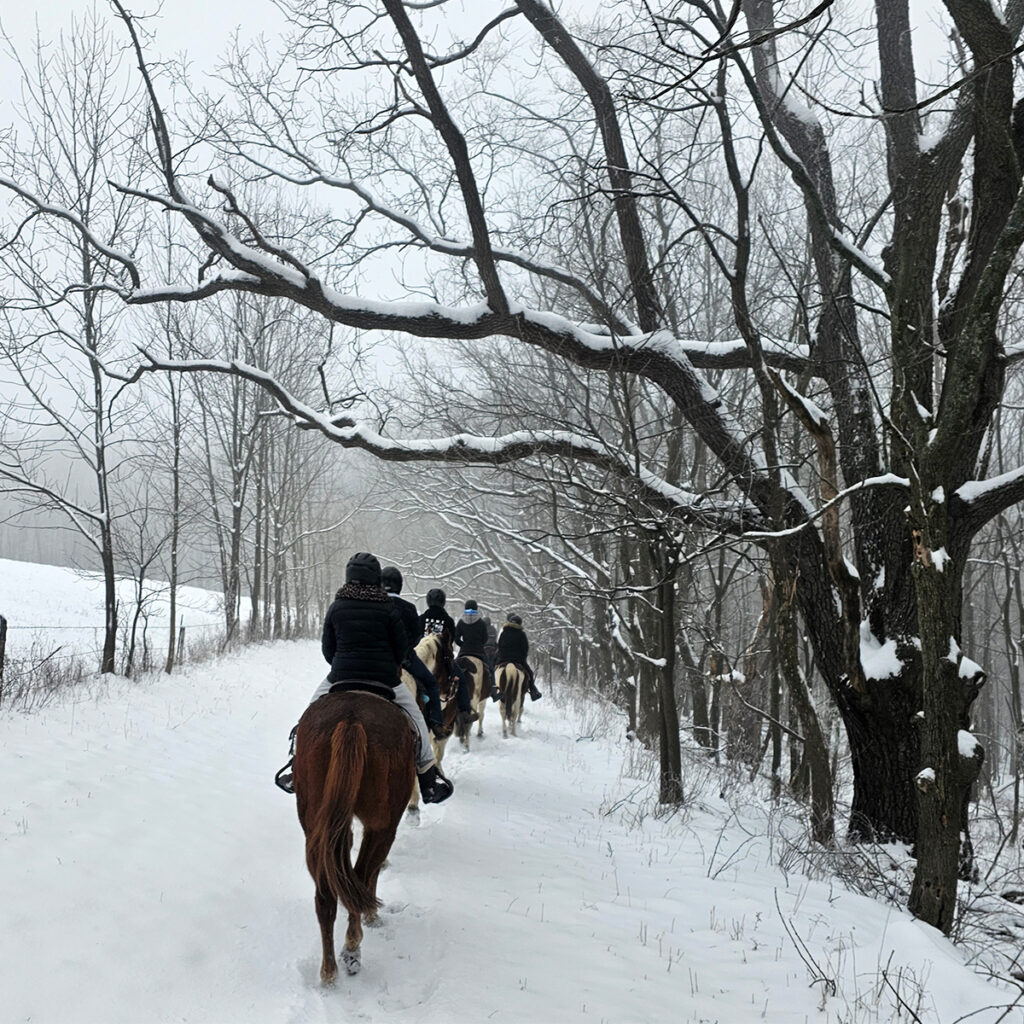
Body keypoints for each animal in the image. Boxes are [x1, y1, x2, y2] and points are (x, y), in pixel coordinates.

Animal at [292, 688, 415, 983]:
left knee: (326, 894)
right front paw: (372, 916)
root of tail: (351, 720)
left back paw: (329, 973)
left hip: (316, 825)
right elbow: (371, 874)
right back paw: (351, 949)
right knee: (360, 875)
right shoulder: (380, 828)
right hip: (382, 825)